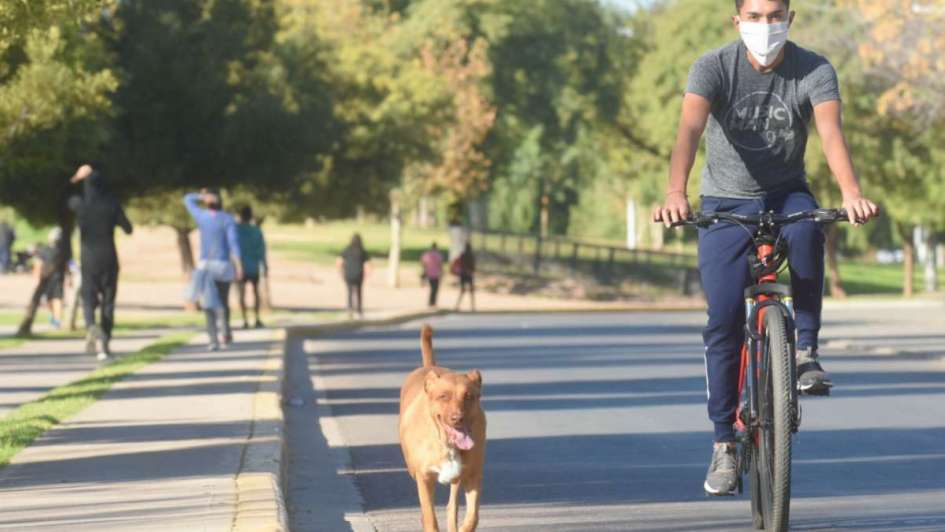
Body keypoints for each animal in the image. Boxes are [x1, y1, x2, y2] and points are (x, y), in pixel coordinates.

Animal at [398, 324, 486, 532]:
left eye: (469, 396)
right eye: (443, 396)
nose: (457, 418)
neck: (446, 443)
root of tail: (429, 366)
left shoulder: (473, 475)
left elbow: (472, 517)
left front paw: (463, 527)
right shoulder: (423, 478)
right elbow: (430, 517)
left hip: (458, 477)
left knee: (452, 506)